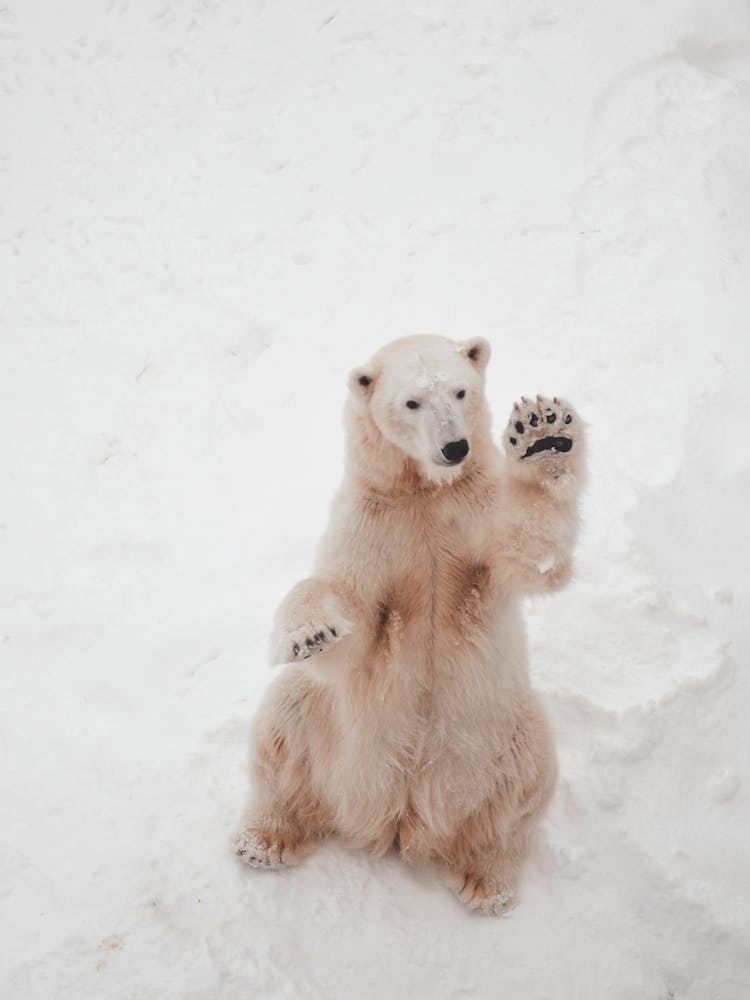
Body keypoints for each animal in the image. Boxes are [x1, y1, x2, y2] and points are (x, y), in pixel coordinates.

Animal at [235, 333, 585, 915]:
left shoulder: (475, 508)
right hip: (334, 734)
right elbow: (346, 612)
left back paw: (486, 882)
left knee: (523, 785)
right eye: (412, 402)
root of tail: (402, 819)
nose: (455, 447)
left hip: (502, 728)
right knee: (286, 720)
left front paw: (544, 436)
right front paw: (310, 633)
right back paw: (264, 839)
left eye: (461, 391)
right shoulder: (372, 520)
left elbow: (530, 553)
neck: (427, 491)